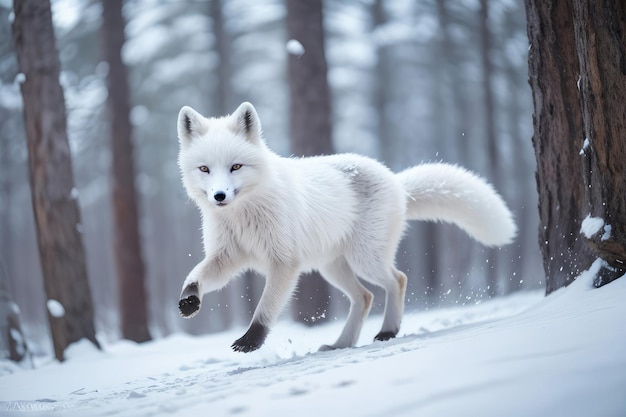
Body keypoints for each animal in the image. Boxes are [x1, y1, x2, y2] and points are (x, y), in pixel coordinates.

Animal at [176, 101, 512, 352]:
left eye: (236, 167)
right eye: (204, 169)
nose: (219, 196)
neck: (244, 216)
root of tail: (396, 182)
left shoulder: (284, 262)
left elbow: (265, 308)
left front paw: (251, 341)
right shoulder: (228, 257)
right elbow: (196, 276)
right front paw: (189, 301)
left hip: (364, 260)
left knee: (398, 280)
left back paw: (388, 330)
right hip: (332, 268)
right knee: (365, 297)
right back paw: (342, 343)